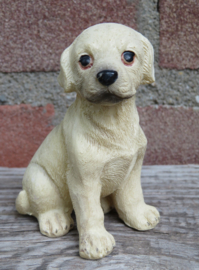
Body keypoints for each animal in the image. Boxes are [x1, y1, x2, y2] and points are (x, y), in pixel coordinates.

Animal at [16, 22, 160, 260]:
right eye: (84, 60)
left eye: (128, 56)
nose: (107, 75)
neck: (112, 122)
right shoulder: (83, 179)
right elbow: (90, 213)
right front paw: (95, 242)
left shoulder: (132, 169)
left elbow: (132, 196)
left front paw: (139, 216)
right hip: (39, 180)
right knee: (44, 205)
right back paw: (55, 219)